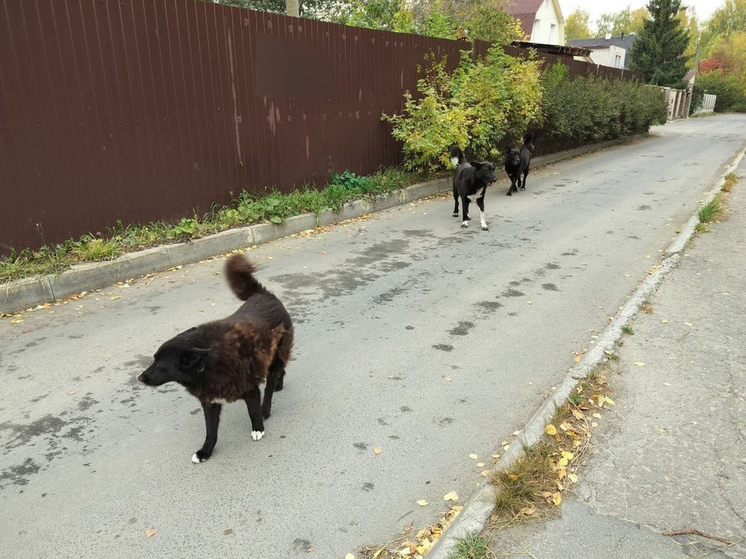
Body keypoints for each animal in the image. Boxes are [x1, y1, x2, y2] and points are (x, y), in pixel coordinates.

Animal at [138, 254, 292, 464]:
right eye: (153, 360)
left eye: (160, 365)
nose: (139, 378)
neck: (205, 364)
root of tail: (264, 295)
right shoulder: (209, 403)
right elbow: (211, 431)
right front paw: (205, 451)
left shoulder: (250, 390)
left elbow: (253, 412)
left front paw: (258, 428)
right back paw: (279, 384)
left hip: (275, 355)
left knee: (270, 383)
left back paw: (267, 406)